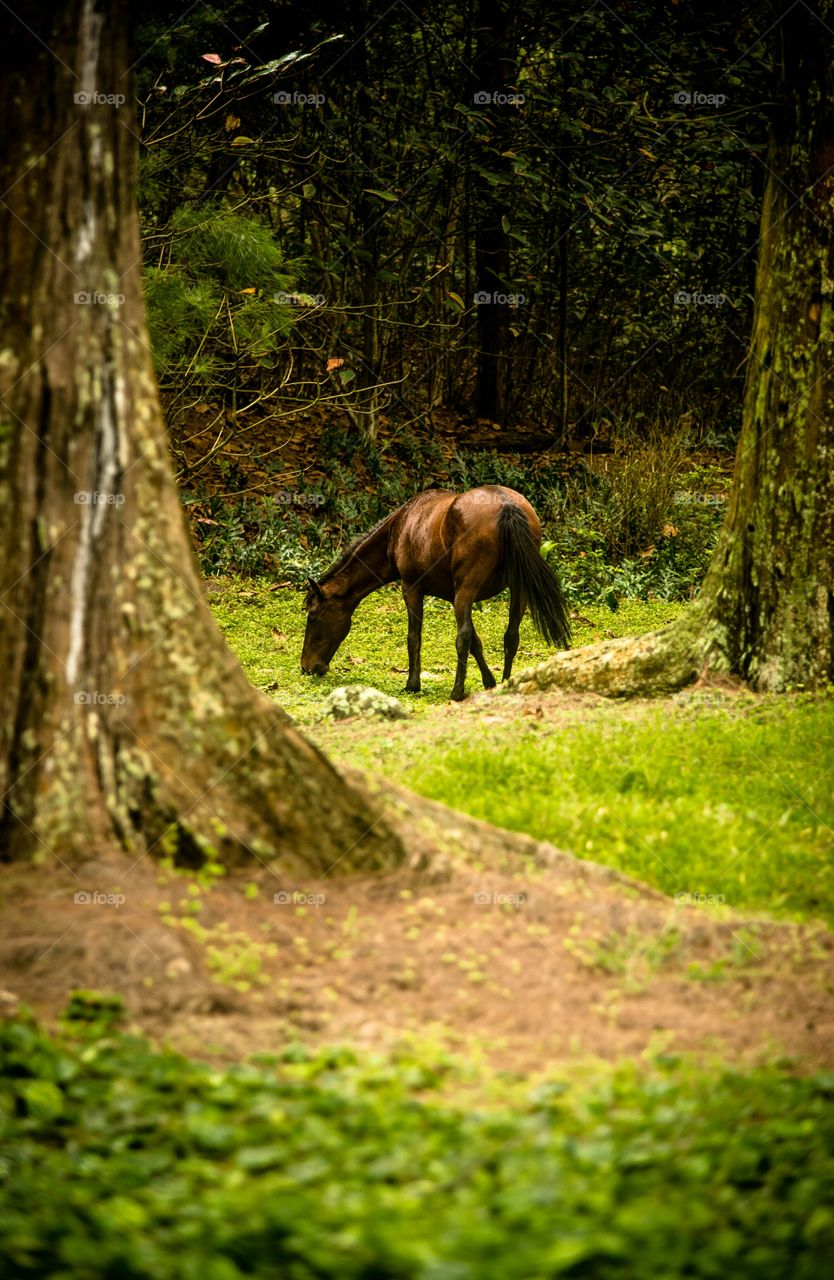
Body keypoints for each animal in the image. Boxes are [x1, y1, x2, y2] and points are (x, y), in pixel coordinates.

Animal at [301, 485, 571, 701]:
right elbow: (477, 643)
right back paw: (506, 683)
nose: (307, 667)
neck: (399, 528)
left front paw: (412, 684)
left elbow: (415, 637)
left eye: (312, 617)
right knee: (510, 637)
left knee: (462, 637)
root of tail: (506, 504)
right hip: (516, 590)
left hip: (466, 591)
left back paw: (457, 692)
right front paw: (489, 681)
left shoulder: (412, 589)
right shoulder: (454, 597)